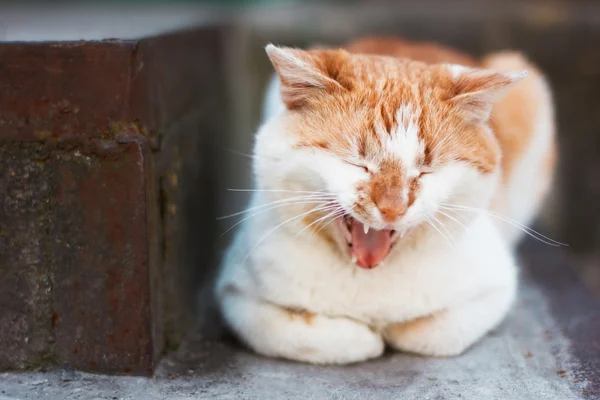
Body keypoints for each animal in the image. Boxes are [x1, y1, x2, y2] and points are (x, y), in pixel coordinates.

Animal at [216, 36, 556, 364]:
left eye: (425, 171)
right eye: (357, 164)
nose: (393, 207)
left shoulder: (497, 286)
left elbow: (430, 333)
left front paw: (389, 331)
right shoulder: (236, 294)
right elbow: (296, 333)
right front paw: (364, 338)